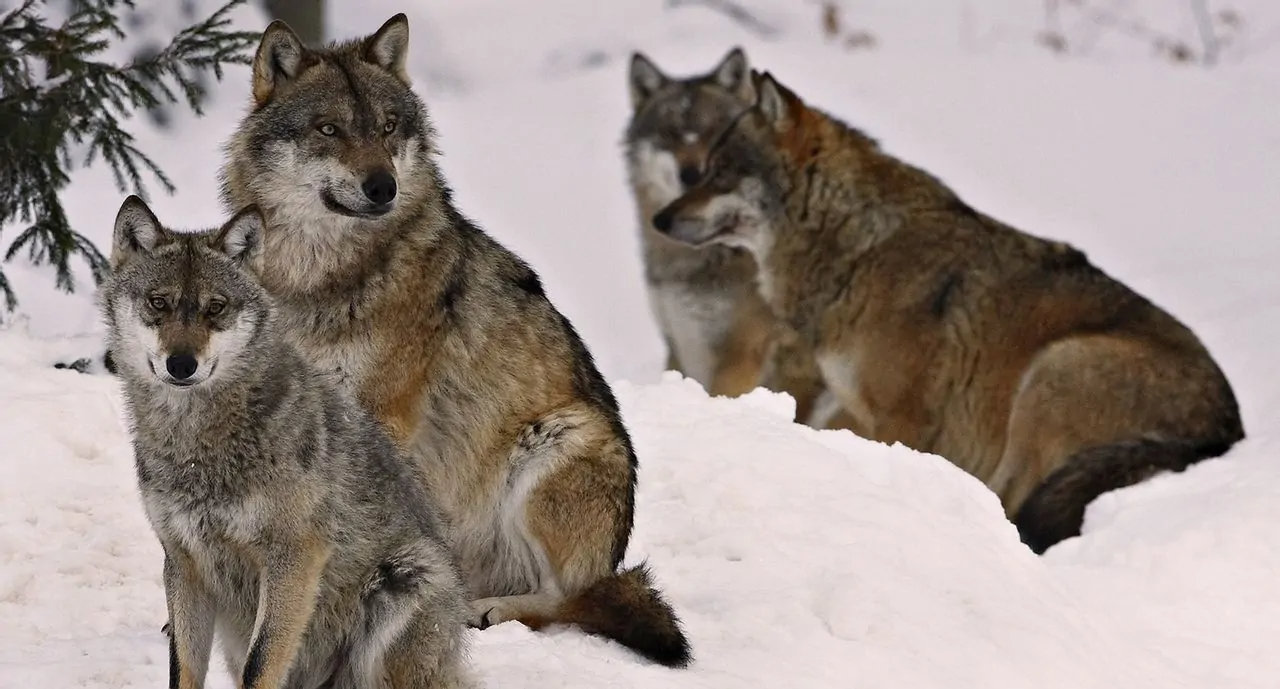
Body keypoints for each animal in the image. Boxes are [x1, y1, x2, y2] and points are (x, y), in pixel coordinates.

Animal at [97, 194, 473, 686]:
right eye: (158, 303)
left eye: (216, 308)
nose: (181, 364)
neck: (197, 445)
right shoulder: (183, 563)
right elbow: (183, 669)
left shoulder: (294, 558)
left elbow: (261, 666)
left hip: (405, 578)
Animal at [213, 13, 691, 660]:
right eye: (329, 129)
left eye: (388, 127)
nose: (383, 186)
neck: (318, 276)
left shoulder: (383, 415)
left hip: (556, 443)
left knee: (573, 600)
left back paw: (486, 610)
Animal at [650, 69, 1239, 553]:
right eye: (703, 170)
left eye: (720, 172)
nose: (660, 220)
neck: (860, 248)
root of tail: (1225, 432)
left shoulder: (904, 417)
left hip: (1053, 371)